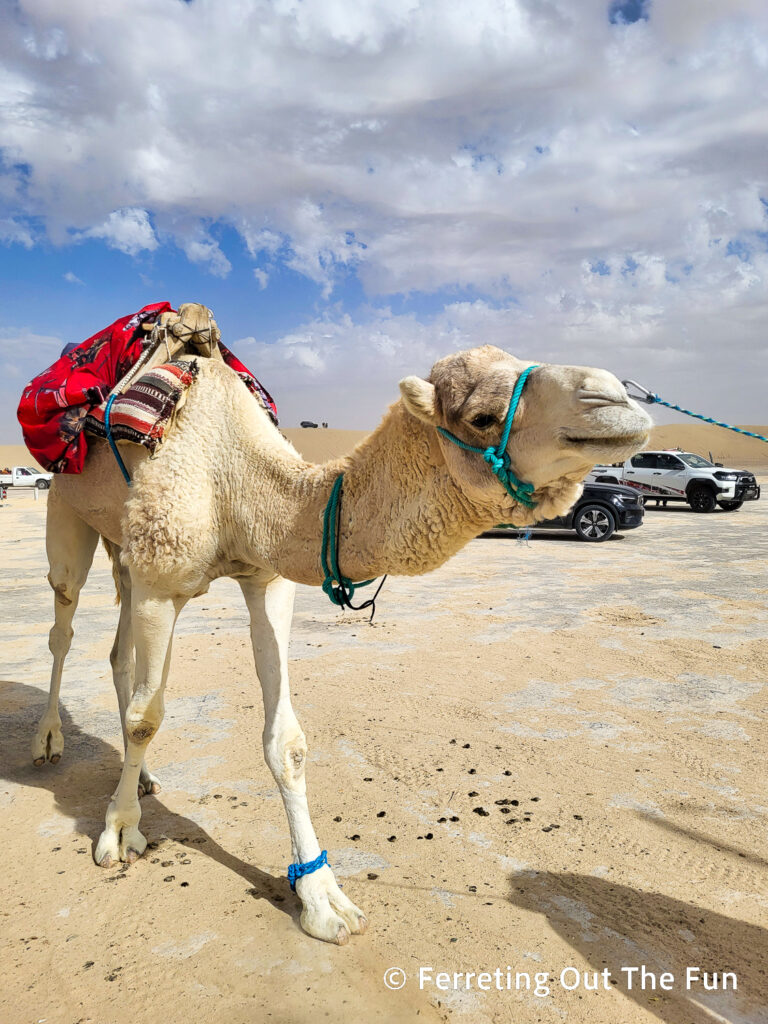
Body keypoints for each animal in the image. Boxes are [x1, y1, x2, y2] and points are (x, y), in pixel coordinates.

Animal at [33, 309, 651, 942]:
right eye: (482, 417)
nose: (616, 396)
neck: (235, 478)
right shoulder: (162, 576)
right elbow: (144, 720)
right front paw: (119, 830)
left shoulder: (266, 579)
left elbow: (285, 741)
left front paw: (321, 896)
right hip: (69, 510)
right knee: (65, 624)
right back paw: (49, 741)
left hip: (124, 546)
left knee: (118, 655)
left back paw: (144, 777)